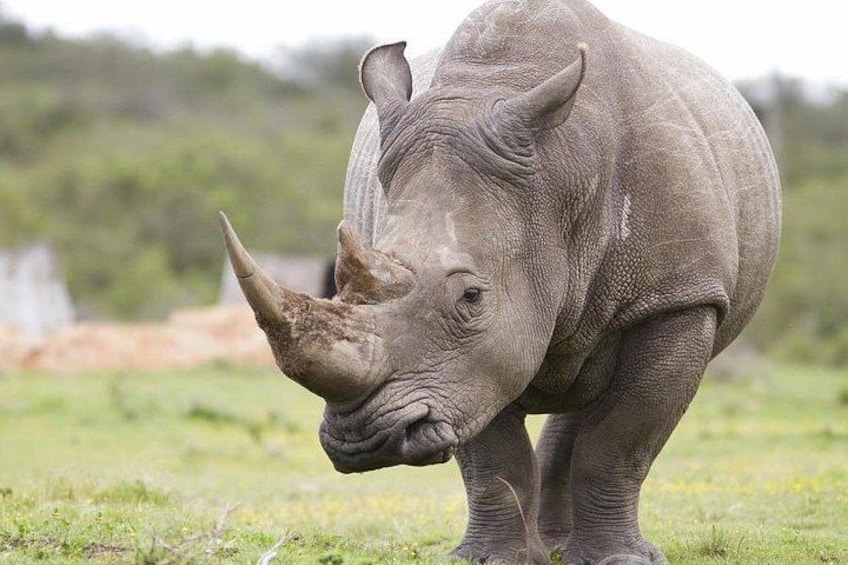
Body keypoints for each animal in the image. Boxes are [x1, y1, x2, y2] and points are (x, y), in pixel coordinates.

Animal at [219, 0, 781, 562]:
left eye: (471, 296)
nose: (363, 439)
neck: (559, 181)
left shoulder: (678, 297)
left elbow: (621, 439)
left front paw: (617, 559)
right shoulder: (462, 368)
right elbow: (492, 455)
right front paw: (489, 558)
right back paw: (552, 545)